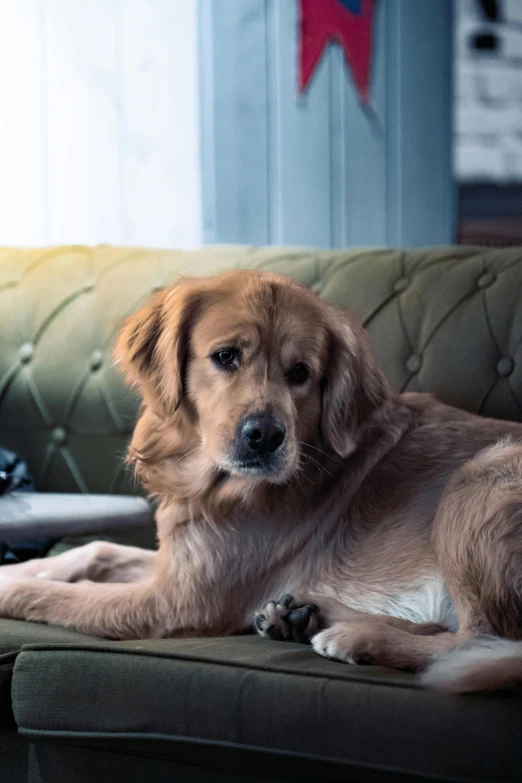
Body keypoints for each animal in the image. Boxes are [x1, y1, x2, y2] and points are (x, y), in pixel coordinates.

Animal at [1, 272, 520, 692]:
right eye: (226, 356)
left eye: (301, 373)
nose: (265, 436)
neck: (213, 485)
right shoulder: (179, 561)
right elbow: (96, 549)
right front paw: (21, 569)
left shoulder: (176, 603)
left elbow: (57, 594)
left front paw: (15, 588)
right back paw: (301, 615)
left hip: (480, 478)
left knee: (477, 638)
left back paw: (355, 636)